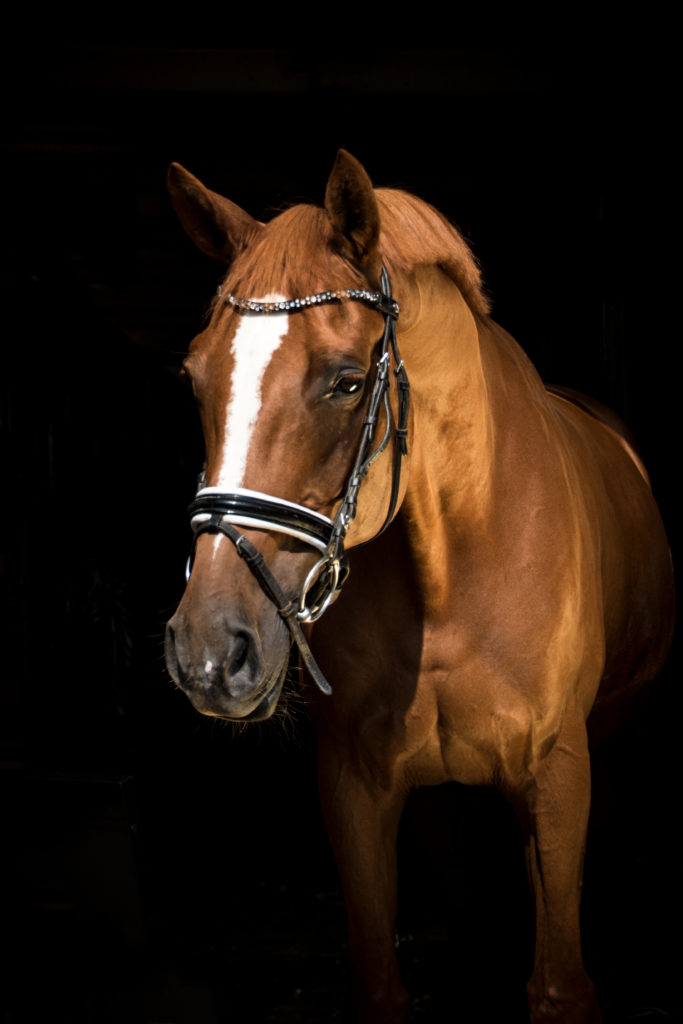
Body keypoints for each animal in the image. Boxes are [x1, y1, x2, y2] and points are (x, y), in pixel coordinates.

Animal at [163, 151, 671, 1024]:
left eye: (344, 382)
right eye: (197, 379)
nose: (209, 652)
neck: (452, 571)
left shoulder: (558, 774)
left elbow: (558, 986)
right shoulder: (354, 786)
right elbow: (382, 983)